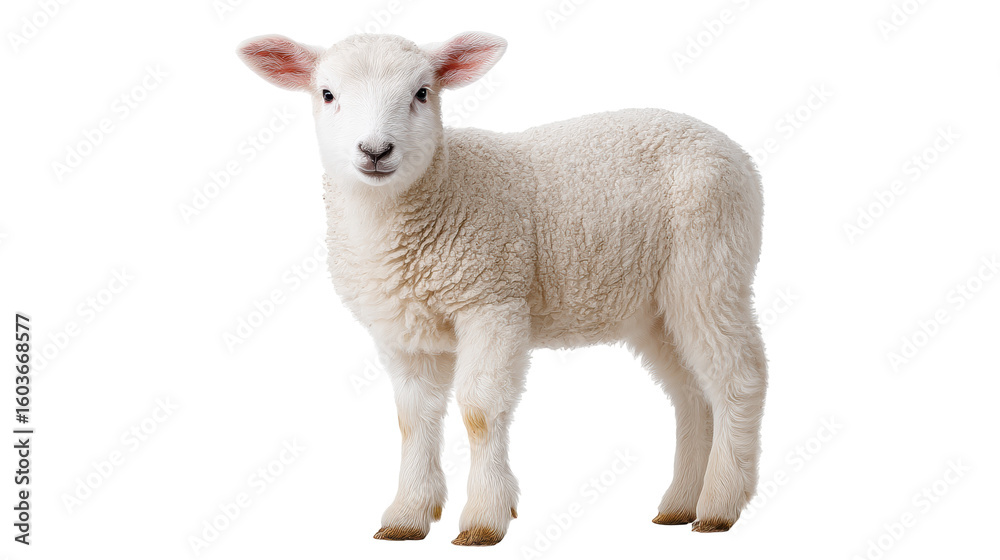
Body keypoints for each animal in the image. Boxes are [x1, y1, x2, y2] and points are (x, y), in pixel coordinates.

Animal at [237, 31, 767, 545]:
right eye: (327, 94)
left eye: (422, 93)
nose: (375, 151)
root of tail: (732, 149)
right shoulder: (403, 329)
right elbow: (413, 419)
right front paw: (407, 516)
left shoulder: (493, 302)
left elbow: (479, 410)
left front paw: (484, 519)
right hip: (656, 306)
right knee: (692, 394)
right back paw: (681, 503)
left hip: (709, 265)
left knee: (737, 378)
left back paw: (720, 504)